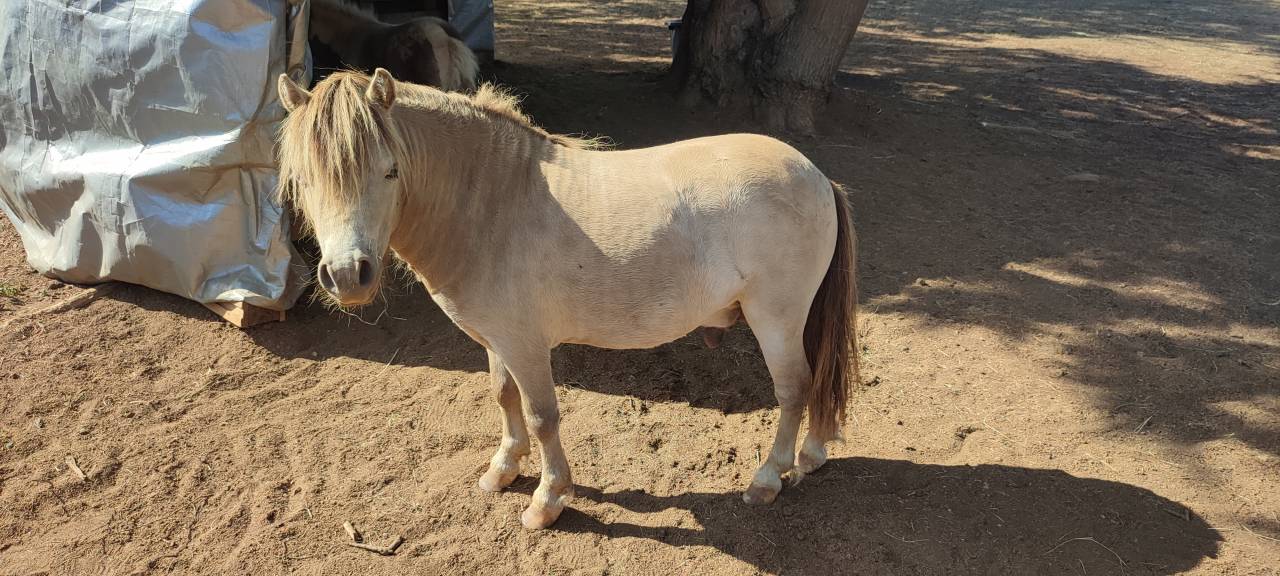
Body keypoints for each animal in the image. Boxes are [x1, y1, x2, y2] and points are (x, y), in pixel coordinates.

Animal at [274, 68, 859, 529]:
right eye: (302, 178)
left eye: (390, 170)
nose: (348, 275)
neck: (493, 203)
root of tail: (816, 175)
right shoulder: (497, 340)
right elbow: (503, 398)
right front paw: (503, 468)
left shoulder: (526, 345)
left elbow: (541, 416)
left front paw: (548, 499)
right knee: (814, 383)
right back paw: (811, 454)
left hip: (776, 319)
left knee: (794, 388)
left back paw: (768, 477)